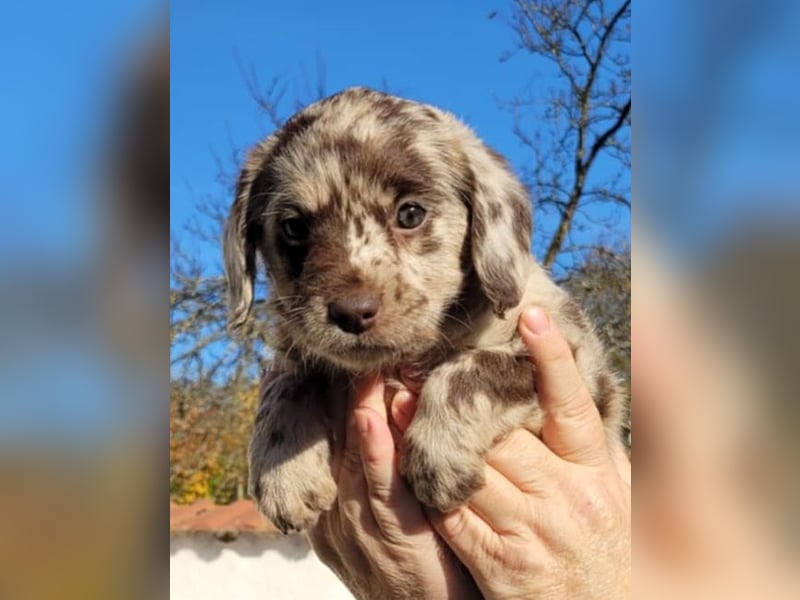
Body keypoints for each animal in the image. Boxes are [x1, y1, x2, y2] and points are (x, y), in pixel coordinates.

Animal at [223, 86, 624, 532]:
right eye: (293, 227)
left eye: (410, 213)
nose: (352, 312)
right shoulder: (297, 348)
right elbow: (282, 385)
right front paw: (283, 472)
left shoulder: (570, 352)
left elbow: (473, 370)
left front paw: (437, 454)